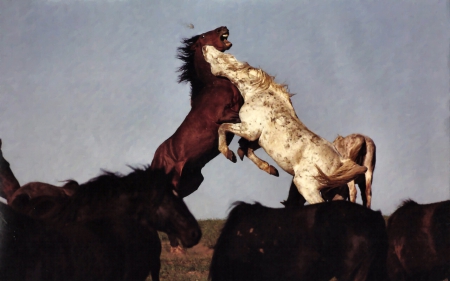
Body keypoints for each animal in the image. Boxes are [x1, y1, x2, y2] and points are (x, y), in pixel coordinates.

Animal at [202, 46, 368, 203]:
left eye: (220, 57)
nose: (205, 47)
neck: (257, 92)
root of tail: (340, 162)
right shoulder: (257, 140)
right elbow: (246, 149)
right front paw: (270, 169)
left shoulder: (250, 130)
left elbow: (223, 128)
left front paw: (228, 153)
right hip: (334, 194)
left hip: (306, 187)